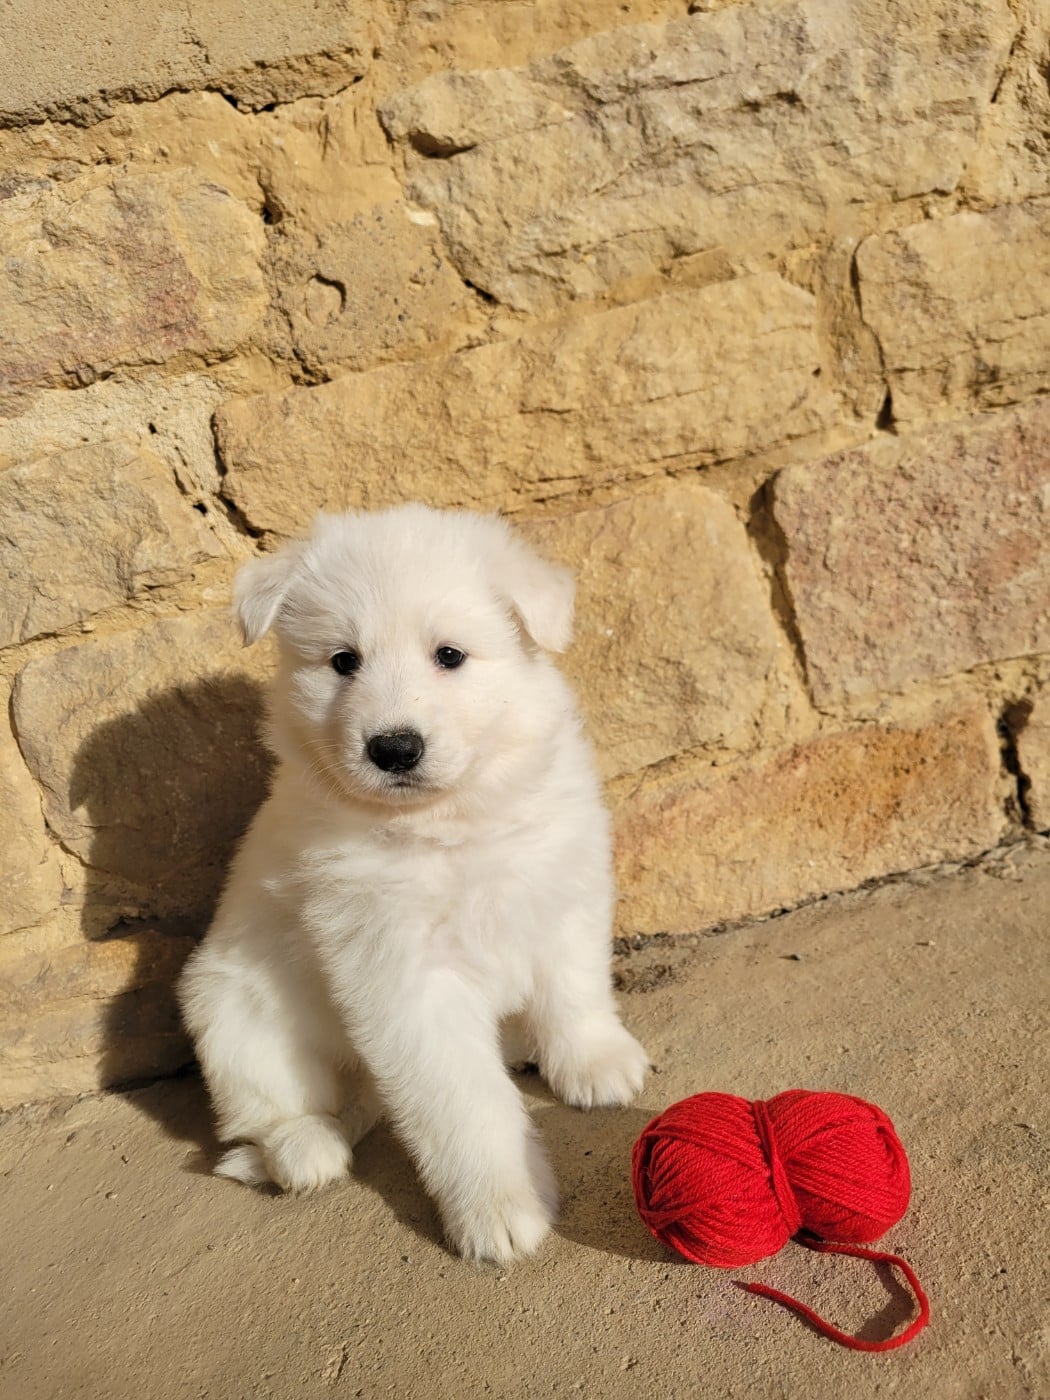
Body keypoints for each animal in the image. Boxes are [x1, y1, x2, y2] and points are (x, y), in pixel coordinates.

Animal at [178, 504, 648, 1263]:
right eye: (344, 661)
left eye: (449, 655)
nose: (394, 748)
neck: (447, 823)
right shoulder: (400, 974)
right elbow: (463, 1100)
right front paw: (499, 1207)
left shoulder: (560, 878)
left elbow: (574, 986)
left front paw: (594, 1062)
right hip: (231, 1013)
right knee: (262, 1112)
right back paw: (305, 1148)